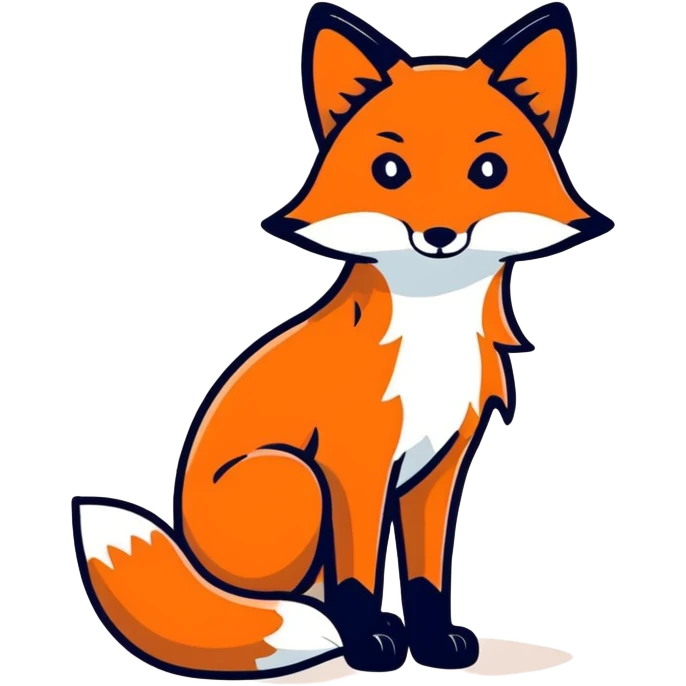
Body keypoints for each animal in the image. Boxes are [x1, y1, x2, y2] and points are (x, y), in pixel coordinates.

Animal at [71, 1, 613, 680]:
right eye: (389, 170)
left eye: (489, 171)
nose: (439, 235)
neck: (431, 330)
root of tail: (188, 559)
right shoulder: (353, 464)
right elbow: (356, 574)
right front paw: (369, 643)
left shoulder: (441, 466)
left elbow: (428, 574)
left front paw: (434, 643)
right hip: (294, 477)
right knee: (280, 597)